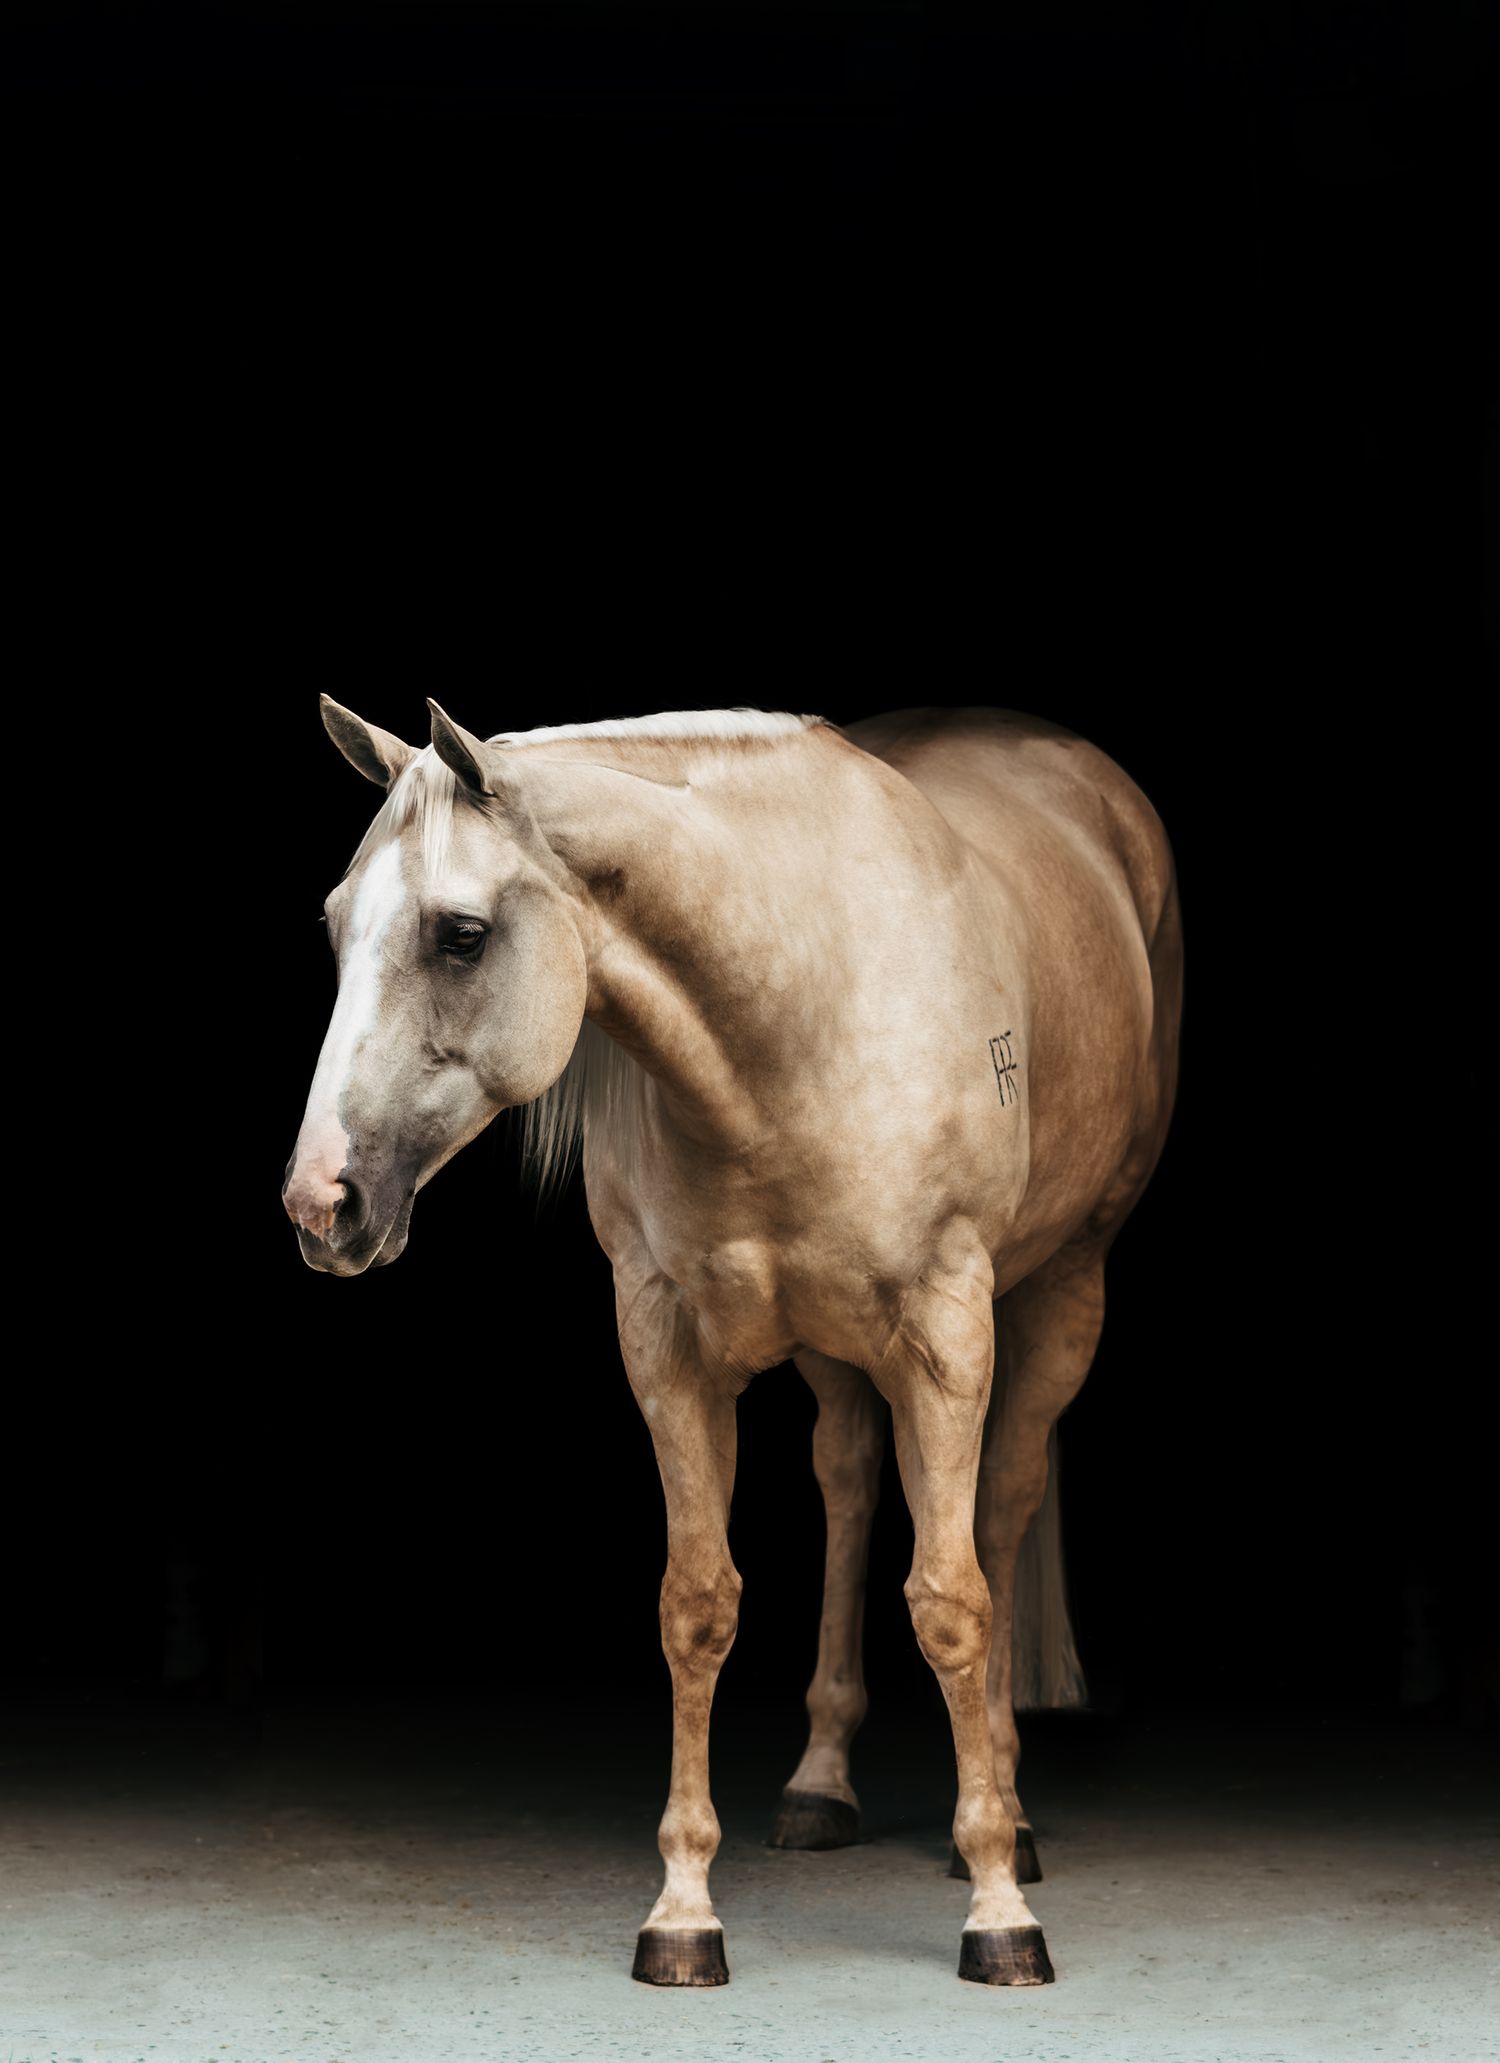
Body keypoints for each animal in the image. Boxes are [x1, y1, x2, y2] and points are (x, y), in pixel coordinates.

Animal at [282, 701, 1183, 1987]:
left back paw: (1005, 1816)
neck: (797, 1013)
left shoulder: (946, 1332)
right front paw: (683, 1909)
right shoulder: (664, 1344)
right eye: (335, 922)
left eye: (460, 936)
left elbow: (952, 1598)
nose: (323, 1202)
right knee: (852, 1486)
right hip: (833, 1352)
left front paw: (999, 1911)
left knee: (1002, 1510)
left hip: (1064, 1291)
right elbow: (698, 1602)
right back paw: (821, 1787)